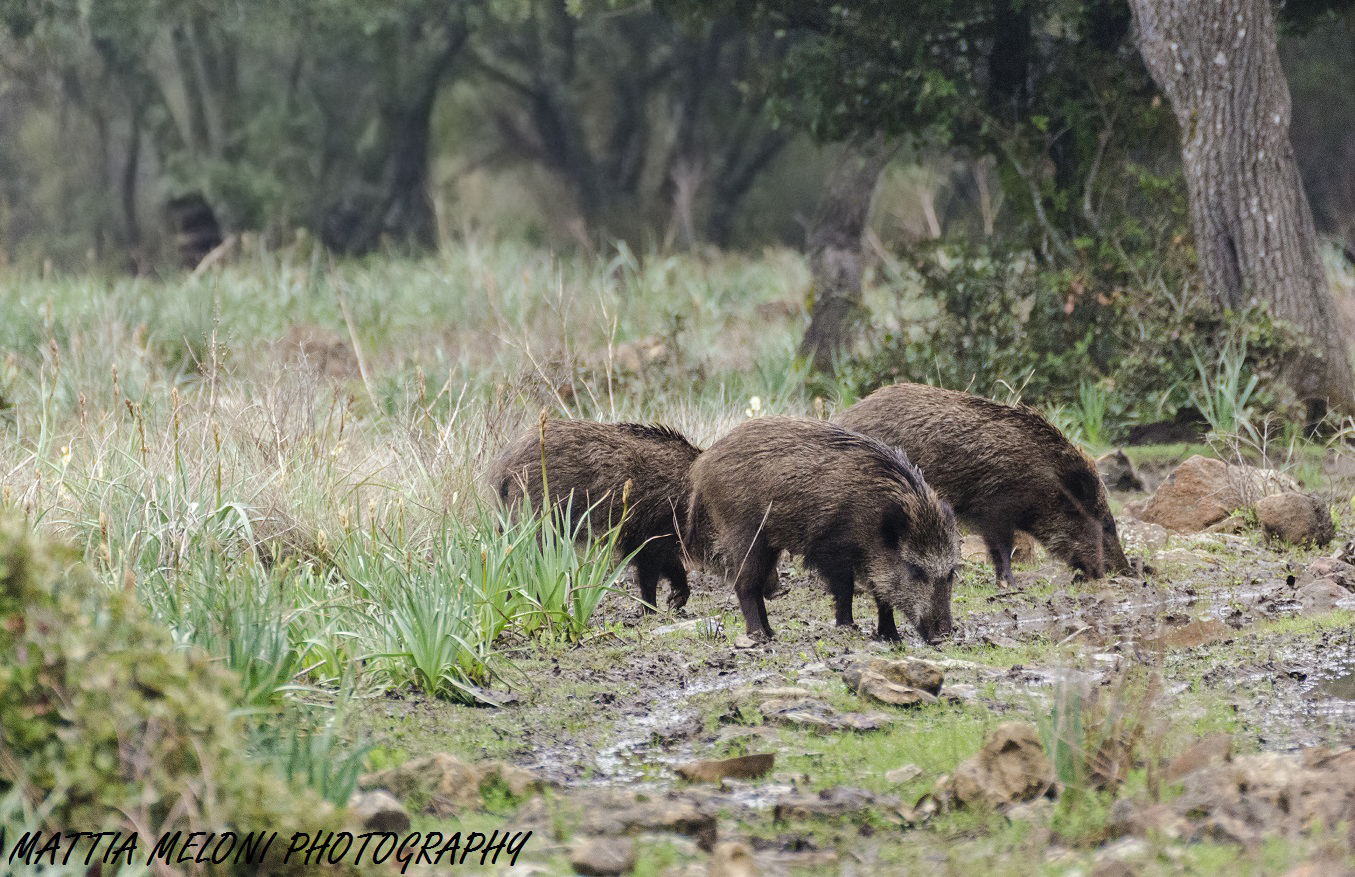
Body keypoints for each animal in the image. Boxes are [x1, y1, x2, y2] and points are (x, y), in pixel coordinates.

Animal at [489, 419, 700, 611]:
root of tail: (503, 467)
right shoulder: (651, 534)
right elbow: (650, 575)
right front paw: (652, 610)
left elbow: (670, 565)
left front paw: (676, 600)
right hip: (540, 521)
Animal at [686, 416, 958, 643]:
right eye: (916, 570)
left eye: (951, 573)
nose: (942, 636)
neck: (874, 517)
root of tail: (702, 465)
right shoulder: (832, 548)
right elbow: (846, 589)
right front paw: (848, 627)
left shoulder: (874, 559)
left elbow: (882, 594)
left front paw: (891, 636)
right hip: (745, 532)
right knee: (745, 584)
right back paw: (759, 635)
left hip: (768, 543)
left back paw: (772, 633)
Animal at [834, 382, 1130, 586]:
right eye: (1106, 524)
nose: (1126, 571)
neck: (1045, 485)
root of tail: (842, 417)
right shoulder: (996, 508)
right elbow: (1001, 548)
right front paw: (1010, 583)